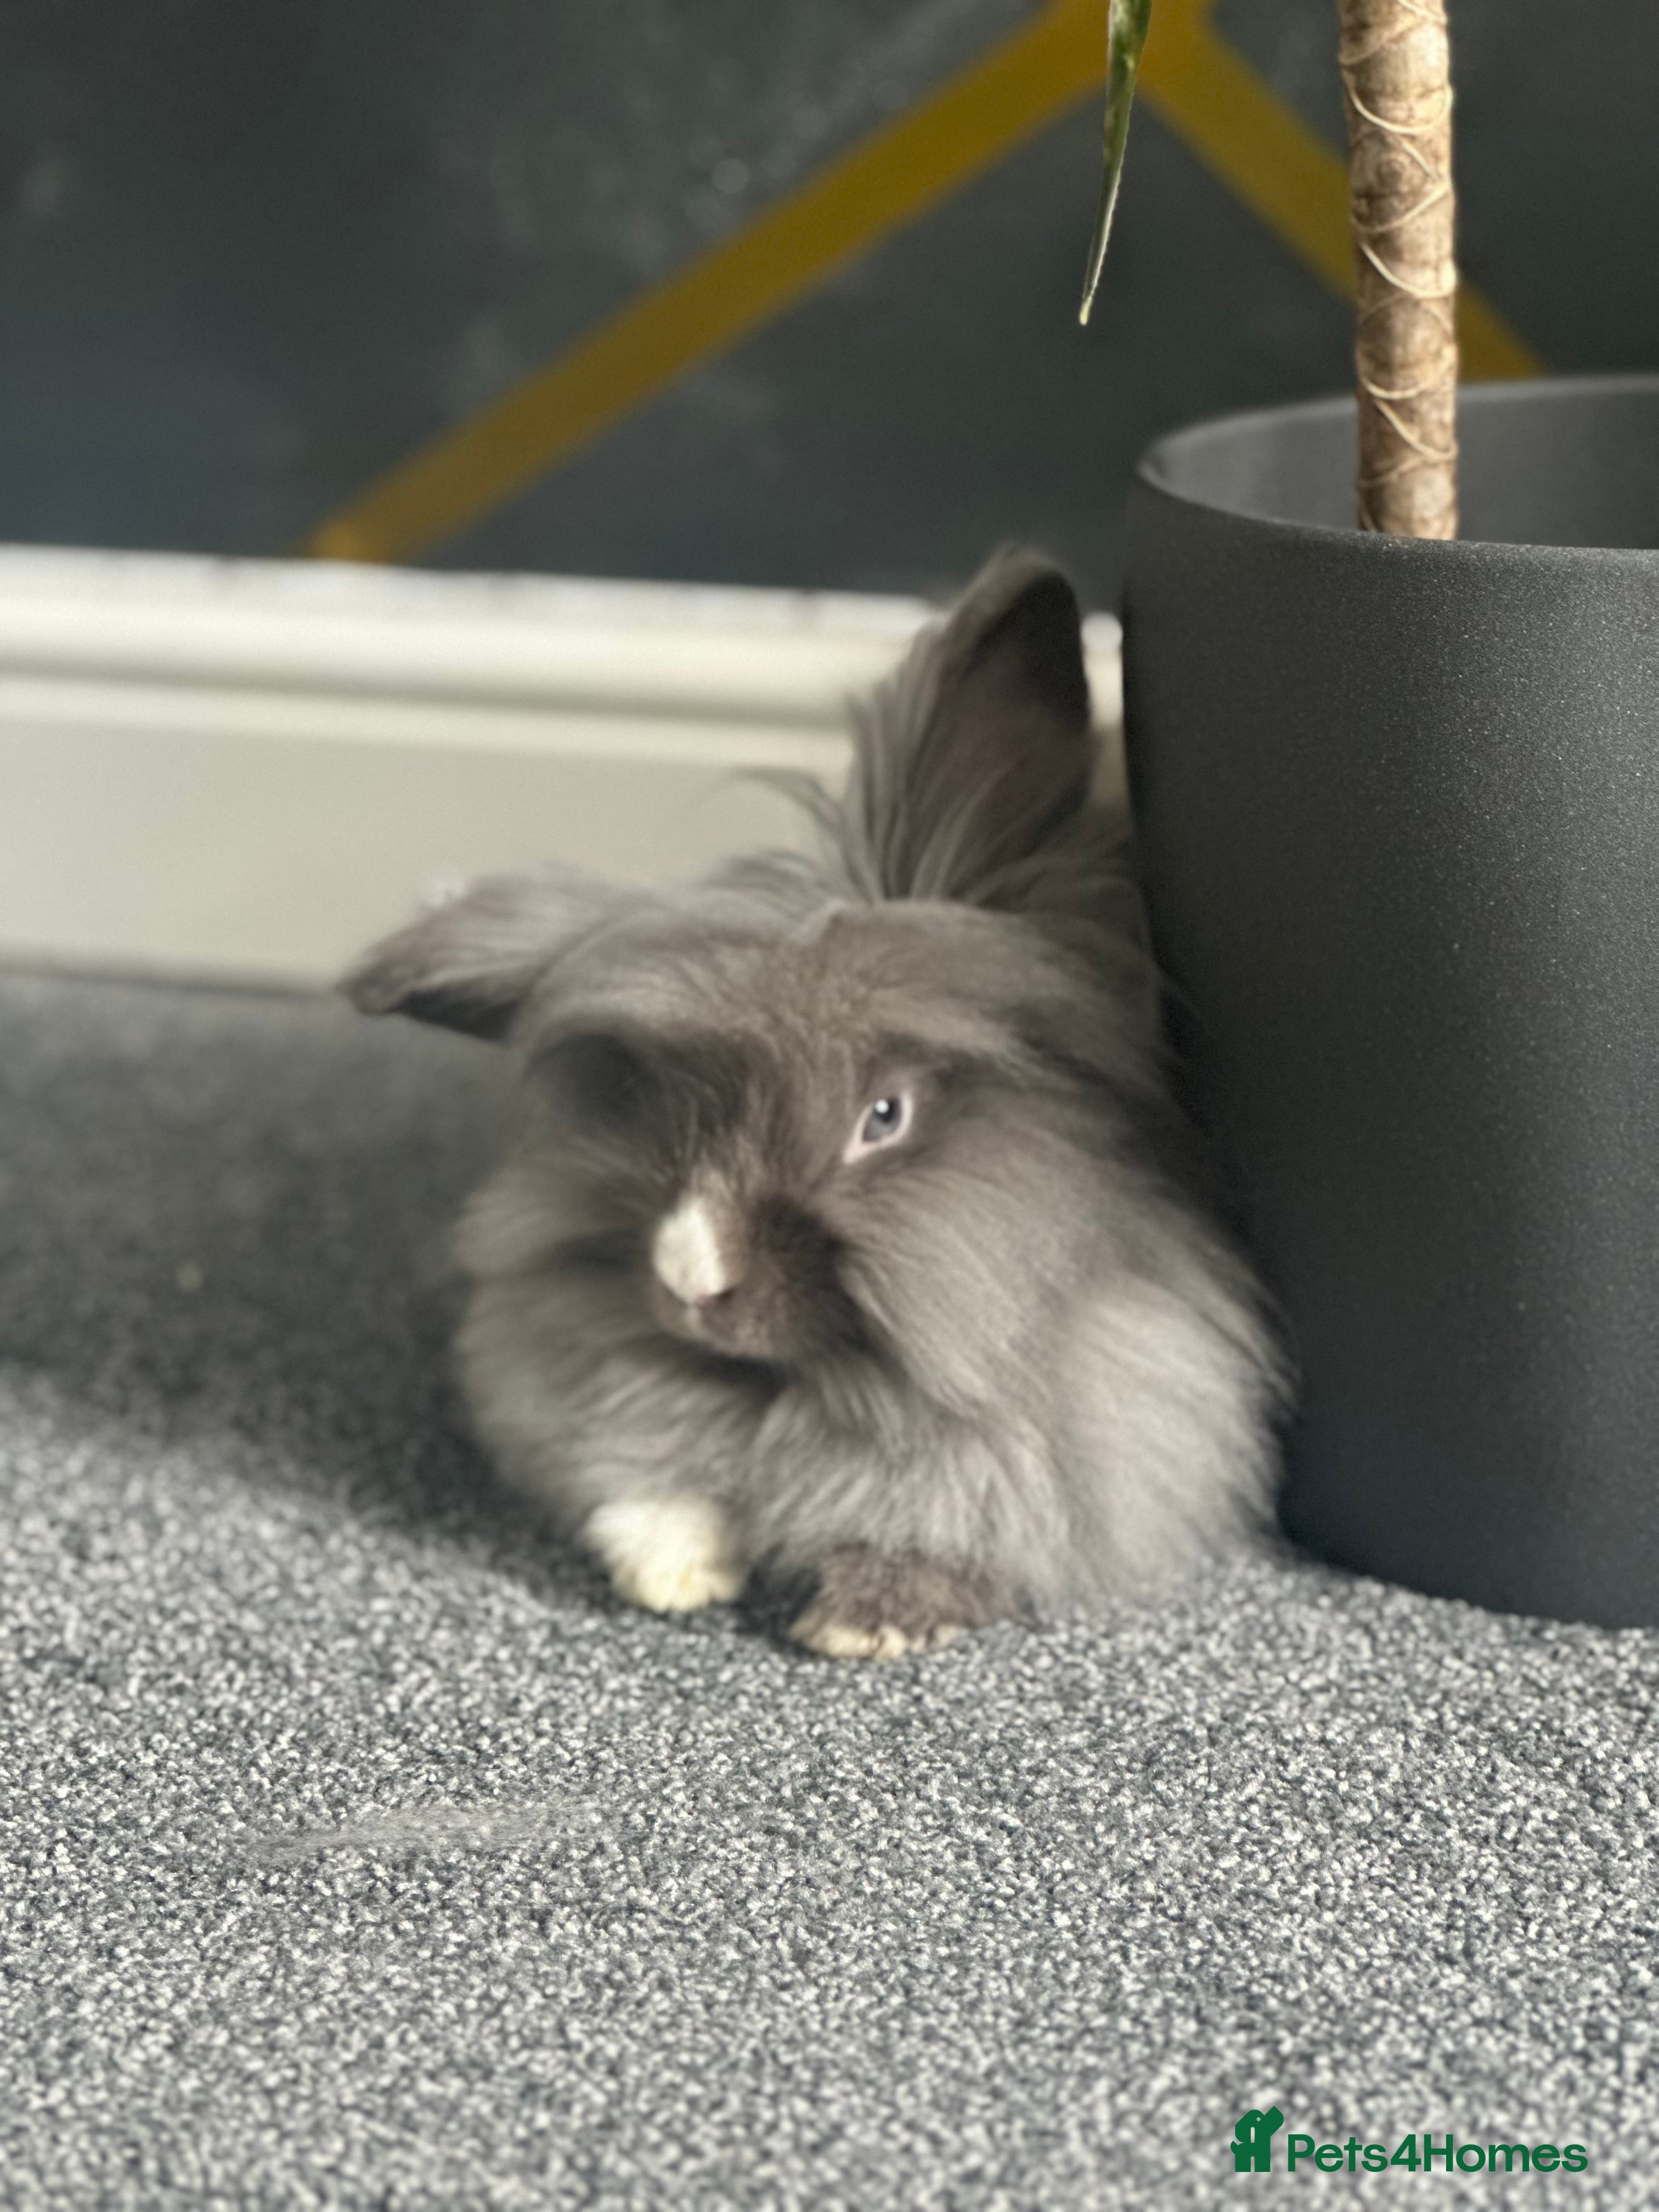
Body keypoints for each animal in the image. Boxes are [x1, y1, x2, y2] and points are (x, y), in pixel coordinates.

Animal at [342, 552, 1284, 1658]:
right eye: (649, 1104)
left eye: (883, 1116)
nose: (687, 1276)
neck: (802, 1393)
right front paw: (672, 1571)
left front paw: (865, 1620)